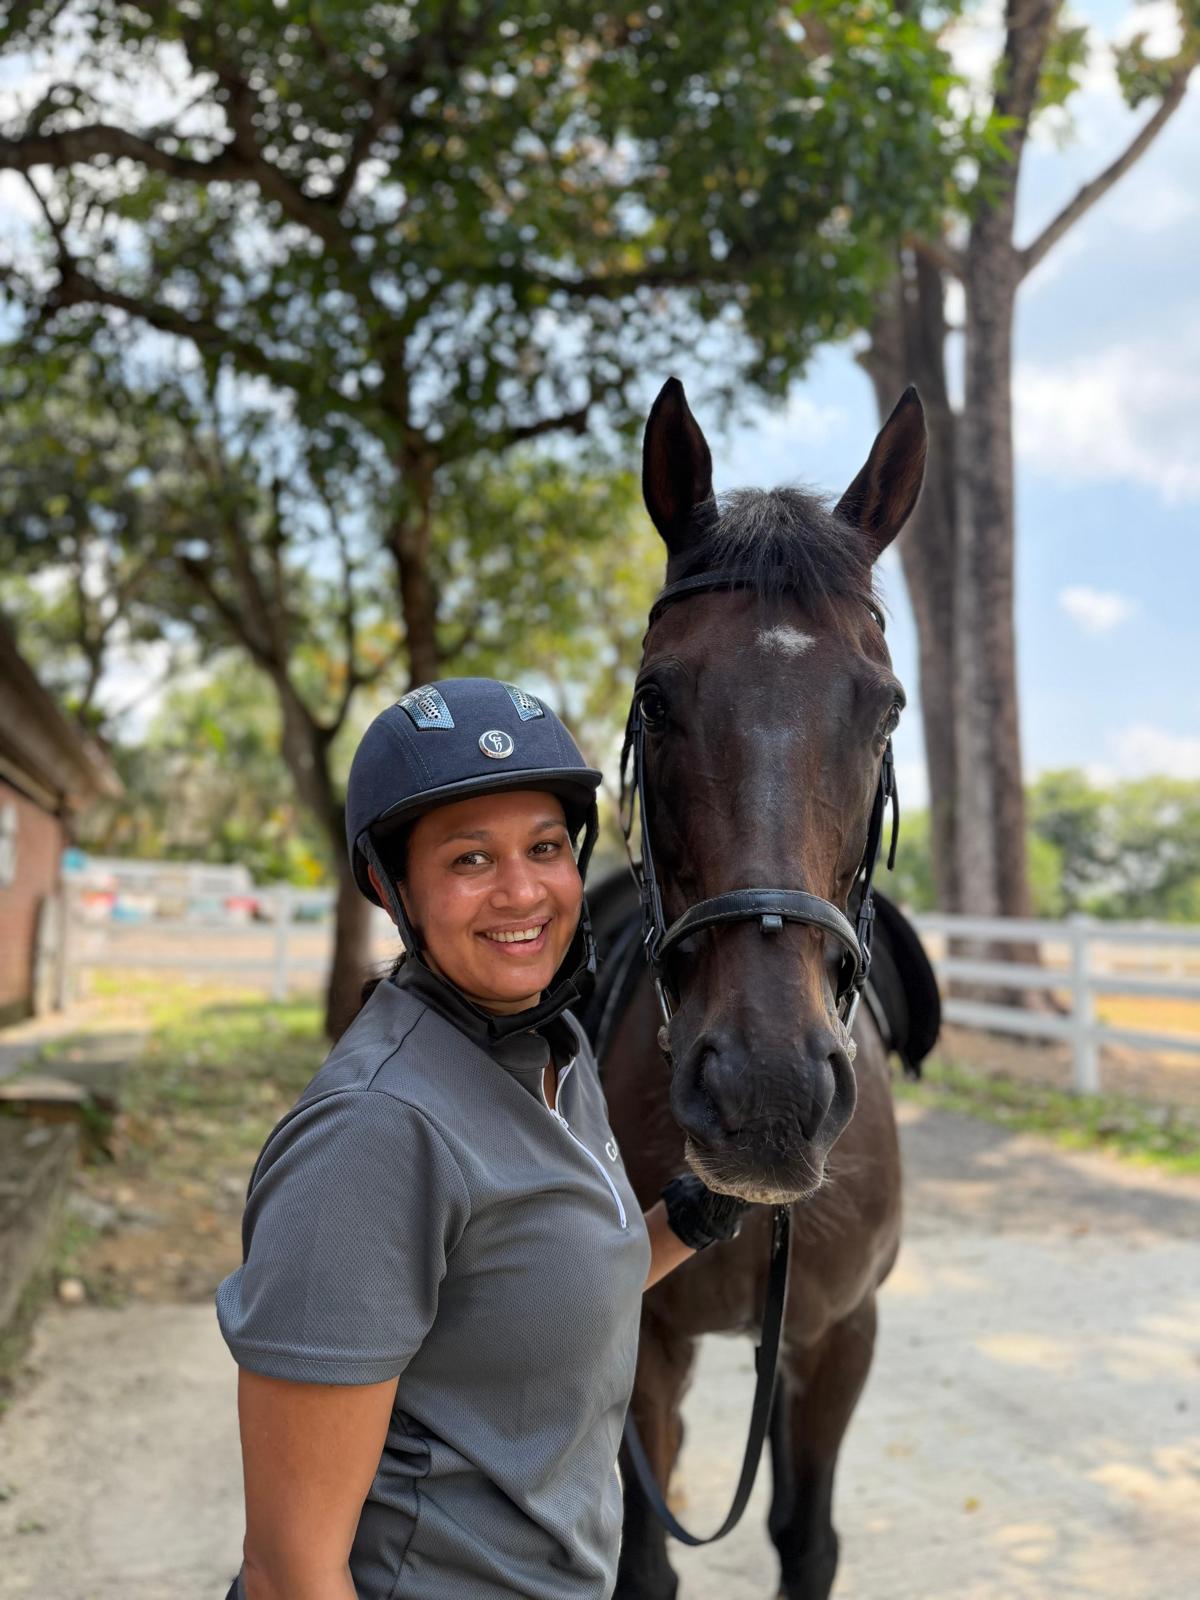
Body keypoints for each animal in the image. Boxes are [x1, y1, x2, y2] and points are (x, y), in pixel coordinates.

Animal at [585, 376, 929, 1600]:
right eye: (653, 700)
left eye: (886, 708)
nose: (767, 1093)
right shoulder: (639, 1344)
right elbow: (643, 1562)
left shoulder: (840, 1339)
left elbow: (805, 1537)